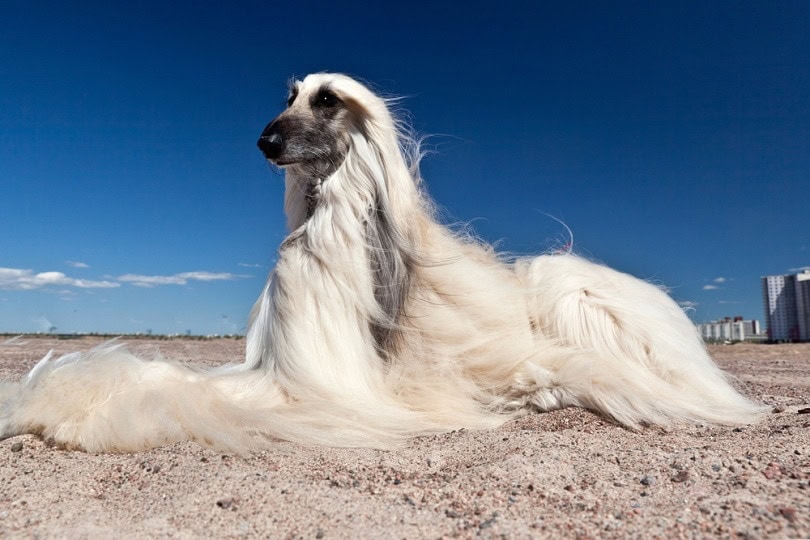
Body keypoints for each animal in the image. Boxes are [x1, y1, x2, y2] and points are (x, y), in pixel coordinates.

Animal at [0, 71, 764, 452]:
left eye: (326, 100)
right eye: (287, 97)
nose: (263, 142)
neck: (335, 232)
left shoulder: (320, 386)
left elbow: (177, 392)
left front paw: (63, 410)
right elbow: (167, 374)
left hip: (564, 283)